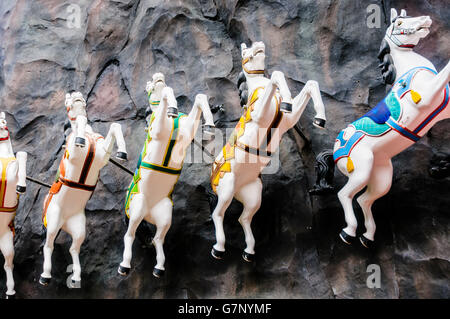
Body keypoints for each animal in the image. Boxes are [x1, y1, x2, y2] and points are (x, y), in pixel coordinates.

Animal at [39, 92, 127, 288]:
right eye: (67, 100)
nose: (77, 94)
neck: (87, 135)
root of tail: (64, 222)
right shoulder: (73, 153)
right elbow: (79, 120)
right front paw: (79, 138)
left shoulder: (102, 156)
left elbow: (115, 126)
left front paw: (122, 153)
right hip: (53, 220)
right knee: (49, 245)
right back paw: (45, 277)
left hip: (78, 227)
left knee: (74, 248)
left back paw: (76, 277)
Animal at [118, 74, 215, 278]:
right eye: (148, 86)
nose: (158, 76)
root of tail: (147, 213)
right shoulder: (159, 129)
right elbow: (166, 98)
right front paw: (171, 106)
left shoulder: (188, 130)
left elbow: (200, 98)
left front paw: (210, 125)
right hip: (137, 207)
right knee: (129, 235)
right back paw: (124, 266)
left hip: (164, 215)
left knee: (157, 239)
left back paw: (159, 269)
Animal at [209, 42, 328, 262]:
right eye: (245, 52)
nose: (259, 45)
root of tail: (212, 180)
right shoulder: (260, 115)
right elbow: (277, 76)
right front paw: (287, 101)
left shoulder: (288, 120)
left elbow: (311, 84)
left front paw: (319, 120)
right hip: (227, 187)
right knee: (218, 215)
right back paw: (218, 249)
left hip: (252, 195)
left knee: (244, 218)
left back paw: (249, 253)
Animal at [332, 6, 448, 248]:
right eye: (400, 22)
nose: (426, 19)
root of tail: (335, 148)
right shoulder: (427, 96)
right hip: (361, 168)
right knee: (344, 195)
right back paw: (348, 233)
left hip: (381, 175)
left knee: (364, 200)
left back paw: (367, 238)